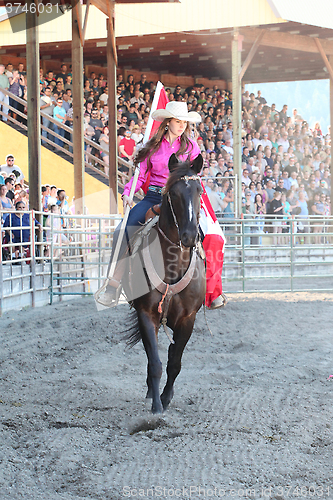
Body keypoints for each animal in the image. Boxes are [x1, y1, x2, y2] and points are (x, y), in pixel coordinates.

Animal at [122, 153, 205, 414]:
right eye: (174, 193)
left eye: (199, 190)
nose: (189, 236)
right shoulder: (146, 313)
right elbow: (155, 362)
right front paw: (157, 407)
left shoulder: (188, 319)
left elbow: (174, 362)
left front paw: (167, 398)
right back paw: (151, 392)